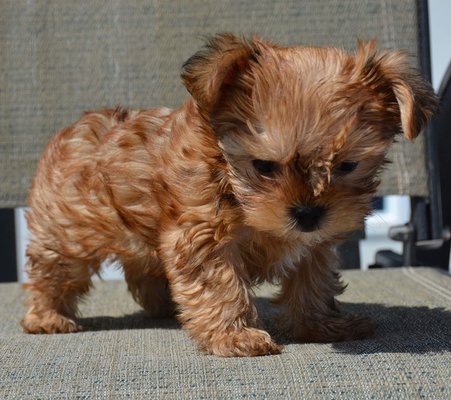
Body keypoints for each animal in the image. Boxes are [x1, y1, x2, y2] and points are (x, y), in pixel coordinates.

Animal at [21, 33, 438, 356]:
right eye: (264, 166)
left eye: (348, 165)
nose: (307, 213)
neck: (233, 185)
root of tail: (71, 130)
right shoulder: (202, 235)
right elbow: (220, 286)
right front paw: (233, 335)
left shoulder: (316, 244)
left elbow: (313, 282)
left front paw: (320, 325)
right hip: (69, 233)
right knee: (52, 272)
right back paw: (46, 316)